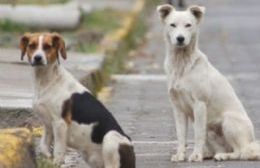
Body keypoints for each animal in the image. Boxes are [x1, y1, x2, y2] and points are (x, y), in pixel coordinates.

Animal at [19, 32, 135, 167]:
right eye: (31, 46)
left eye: (47, 46)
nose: (38, 58)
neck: (47, 81)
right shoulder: (47, 124)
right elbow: (43, 147)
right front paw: (47, 157)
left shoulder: (60, 124)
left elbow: (58, 151)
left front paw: (55, 162)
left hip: (110, 137)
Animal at [156, 3, 260, 161]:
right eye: (172, 25)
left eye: (188, 25)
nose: (180, 38)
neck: (182, 64)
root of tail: (250, 141)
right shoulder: (178, 108)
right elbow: (181, 136)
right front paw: (180, 155)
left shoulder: (199, 104)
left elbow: (197, 134)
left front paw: (196, 155)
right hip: (210, 129)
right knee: (218, 149)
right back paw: (209, 154)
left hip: (228, 121)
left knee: (240, 152)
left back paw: (222, 156)